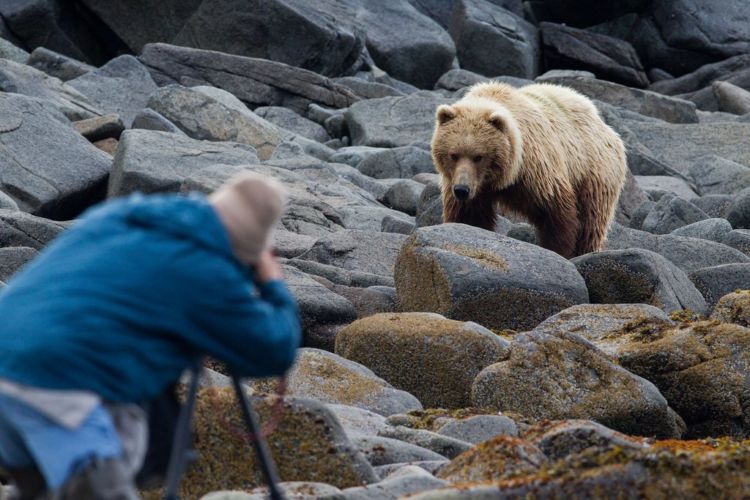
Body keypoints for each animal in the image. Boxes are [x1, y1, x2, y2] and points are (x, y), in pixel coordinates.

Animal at [432, 81, 624, 258]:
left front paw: (559, 250)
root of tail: (605, 126)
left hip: (593, 170)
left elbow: (556, 211)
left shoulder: (537, 167)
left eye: (478, 156)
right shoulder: (465, 185)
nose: (462, 190)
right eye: (454, 155)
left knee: (591, 220)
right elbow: (469, 215)